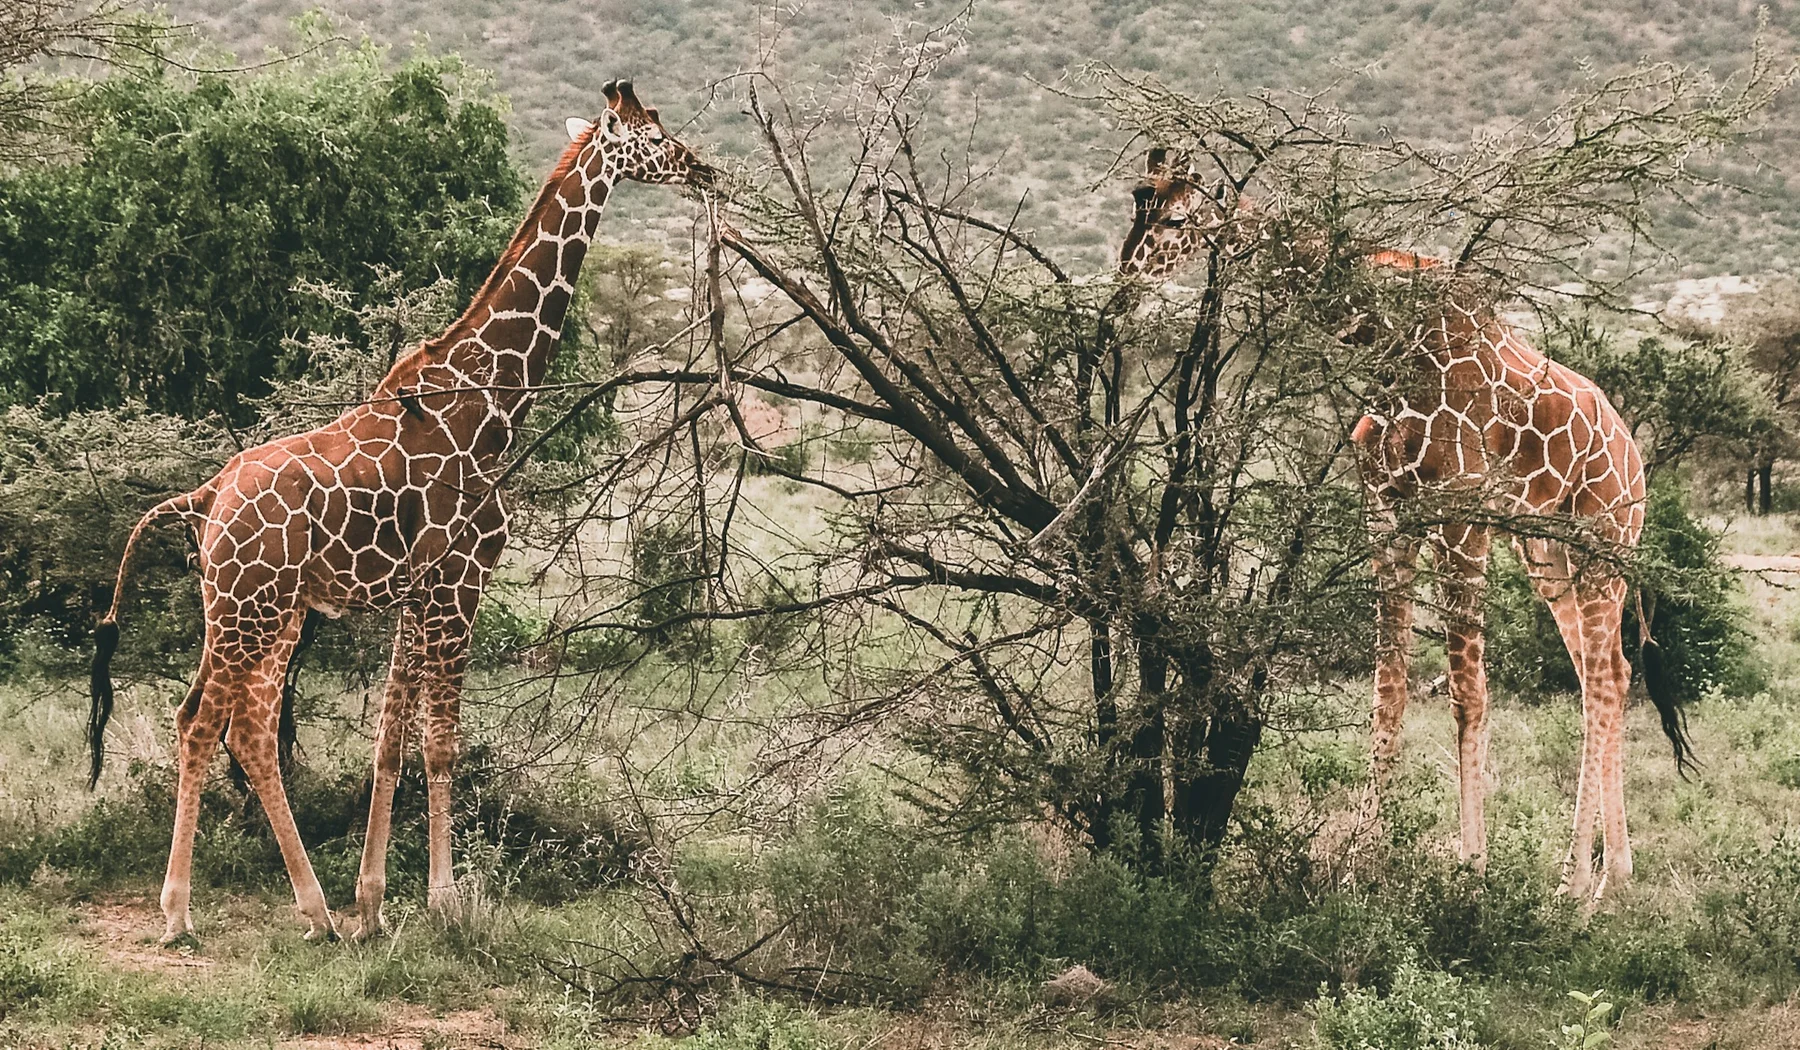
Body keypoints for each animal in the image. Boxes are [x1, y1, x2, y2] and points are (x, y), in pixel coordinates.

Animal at [88, 80, 712, 944]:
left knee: (216, 721)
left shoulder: (415, 593)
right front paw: (445, 900)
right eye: (653, 136)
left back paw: (299, 908)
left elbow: (389, 739)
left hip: (251, 609)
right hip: (254, 608)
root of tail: (206, 498)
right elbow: (442, 741)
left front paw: (375, 900)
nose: (705, 168)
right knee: (219, 723)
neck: (491, 399)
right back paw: (210, 911)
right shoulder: (460, 579)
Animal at [1116, 150, 1689, 899]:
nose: (1124, 280)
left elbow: (1467, 693)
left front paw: (1470, 869)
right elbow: (1387, 690)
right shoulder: (1387, 514)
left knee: (1599, 680)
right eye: (1136, 205)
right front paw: (1363, 862)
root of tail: (1635, 458)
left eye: (1177, 219)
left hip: (1602, 545)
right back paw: (1611, 878)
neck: (1388, 342)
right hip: (1548, 554)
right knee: (1610, 675)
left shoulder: (1460, 516)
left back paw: (1574, 886)